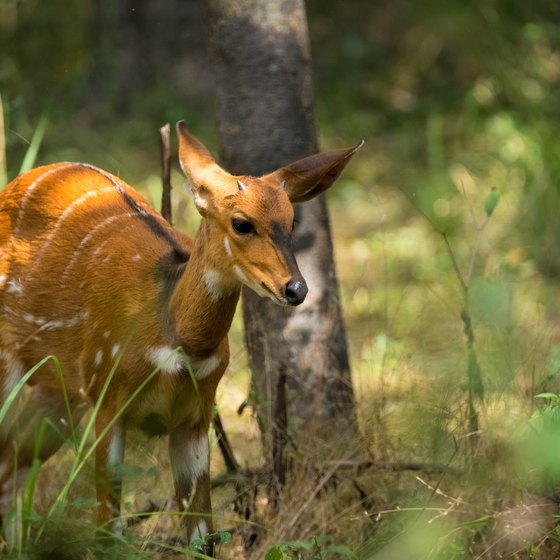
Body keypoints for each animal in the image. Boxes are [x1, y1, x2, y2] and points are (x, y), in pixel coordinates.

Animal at [0, 122, 360, 548]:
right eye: (242, 223)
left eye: (292, 222)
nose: (297, 289)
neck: (177, 341)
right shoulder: (107, 398)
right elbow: (107, 530)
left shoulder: (194, 417)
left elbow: (203, 535)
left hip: (58, 388)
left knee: (11, 462)